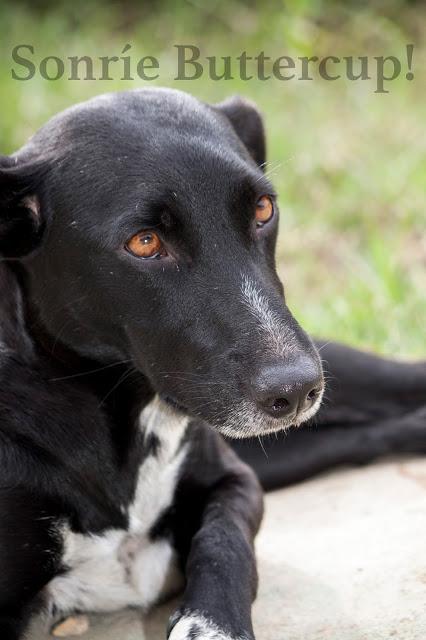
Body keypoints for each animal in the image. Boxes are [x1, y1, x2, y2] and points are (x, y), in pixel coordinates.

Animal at [0, 89, 424, 640]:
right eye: (144, 241)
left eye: (263, 209)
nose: (295, 390)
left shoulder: (235, 479)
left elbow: (225, 541)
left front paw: (212, 623)